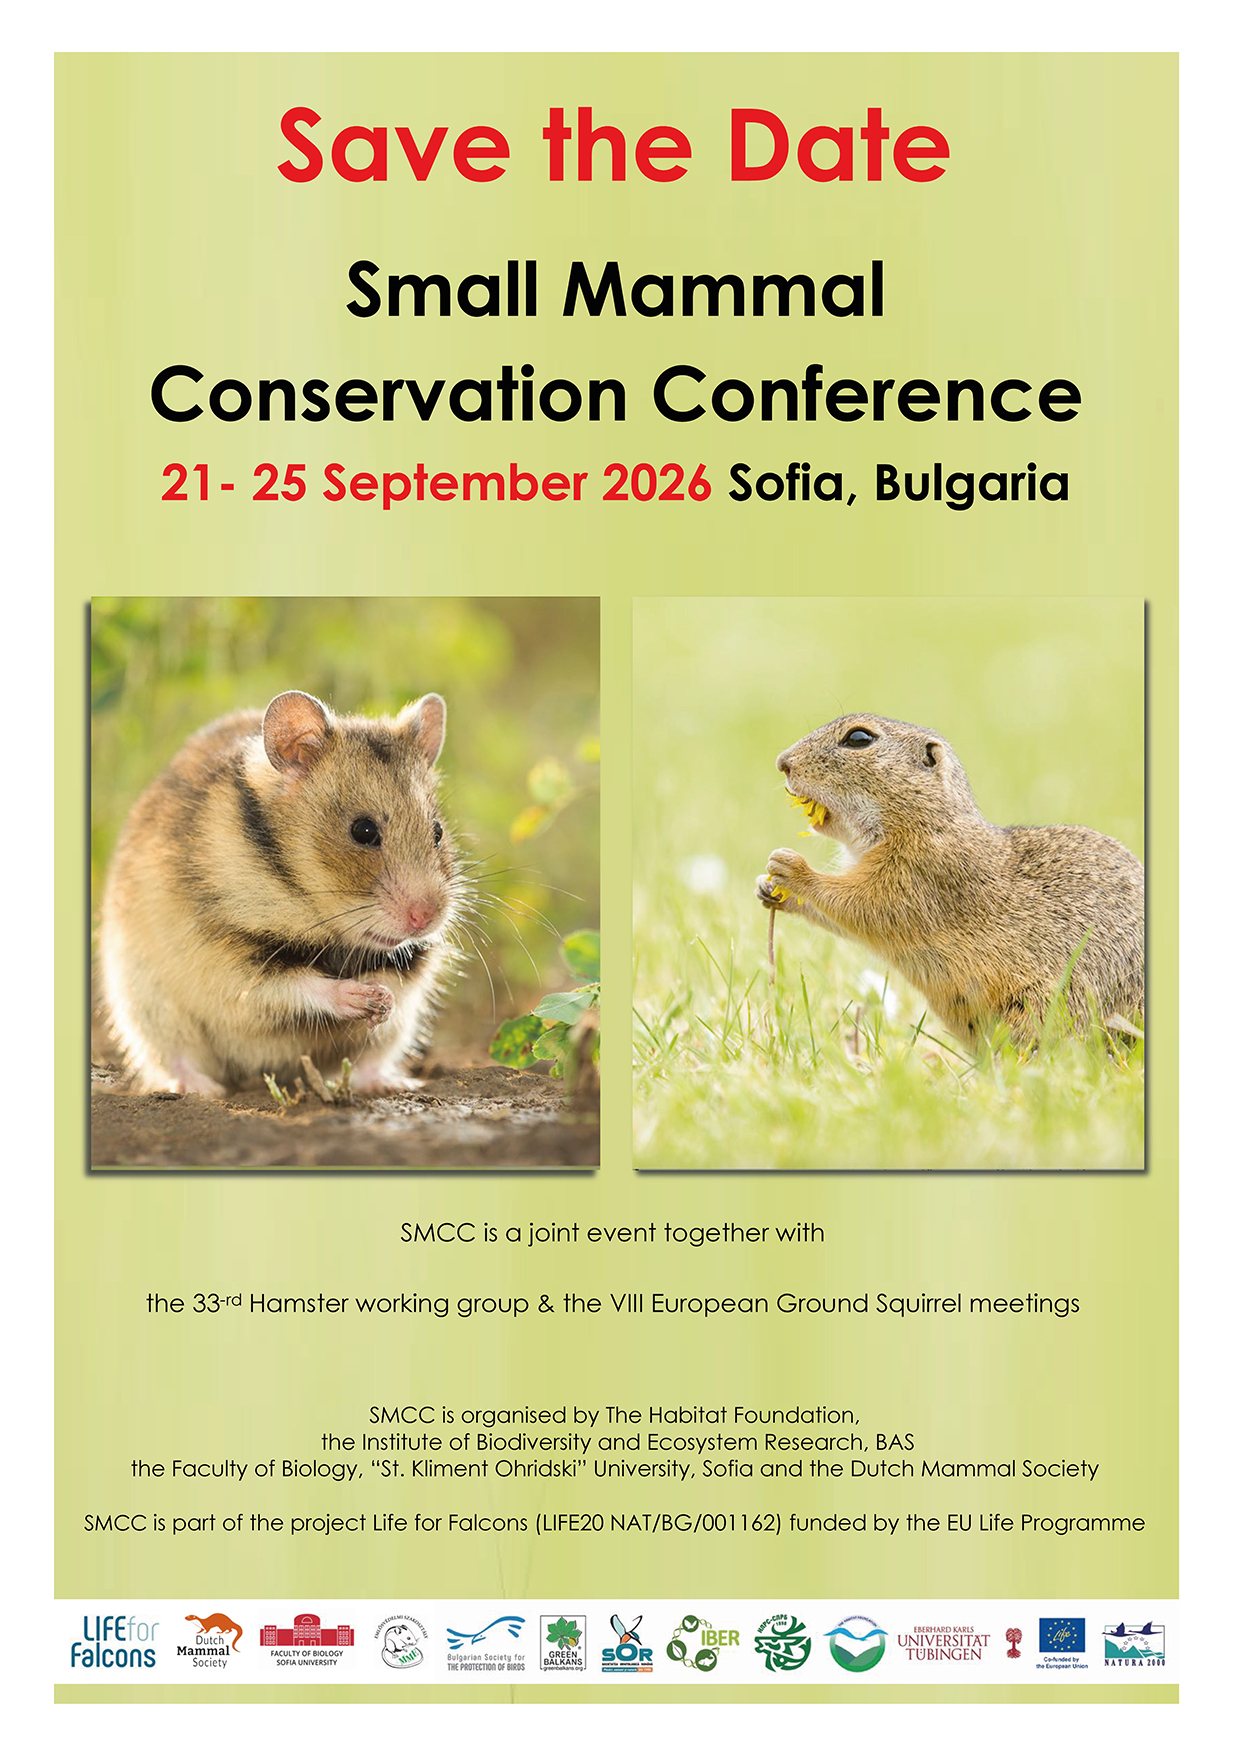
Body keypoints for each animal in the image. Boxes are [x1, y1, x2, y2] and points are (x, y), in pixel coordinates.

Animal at [99, 689, 460, 1095]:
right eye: (363, 831)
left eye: (437, 831)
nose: (425, 918)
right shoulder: (231, 960)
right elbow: (298, 984)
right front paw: (360, 997)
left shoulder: (412, 964)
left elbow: (394, 980)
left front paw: (381, 1000)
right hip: (148, 1008)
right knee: (174, 1059)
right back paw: (202, 1089)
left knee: (370, 1061)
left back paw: (396, 1083)